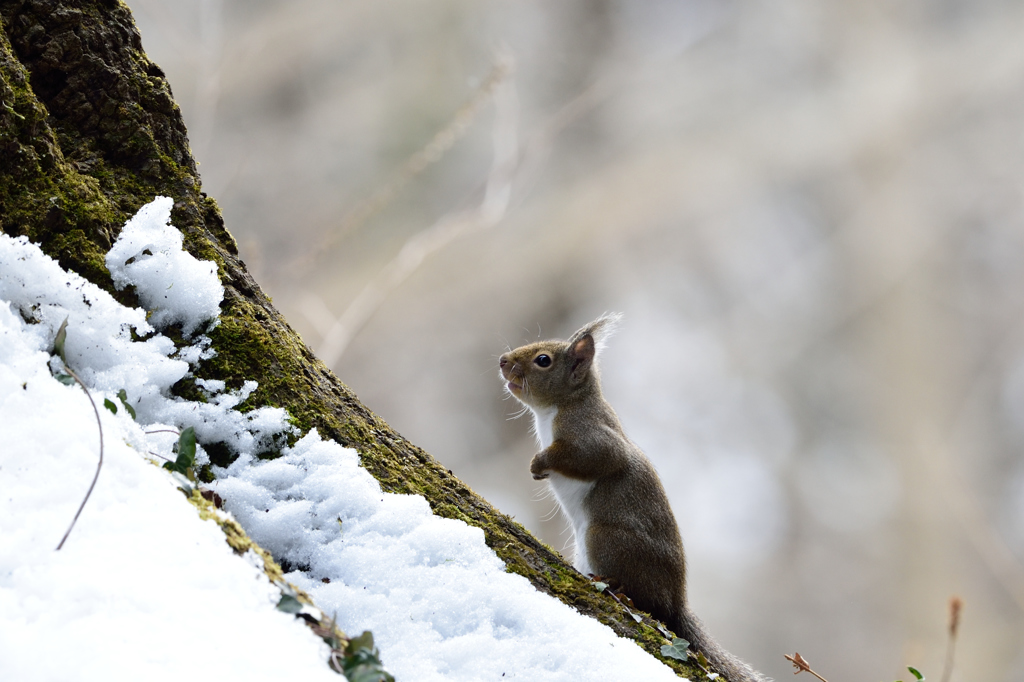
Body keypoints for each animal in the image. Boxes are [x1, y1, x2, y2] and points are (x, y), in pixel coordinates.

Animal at [499, 313, 765, 679]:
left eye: (543, 360)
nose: (502, 361)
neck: (563, 406)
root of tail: (675, 603)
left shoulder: (590, 434)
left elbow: (598, 457)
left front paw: (538, 463)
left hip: (605, 539)